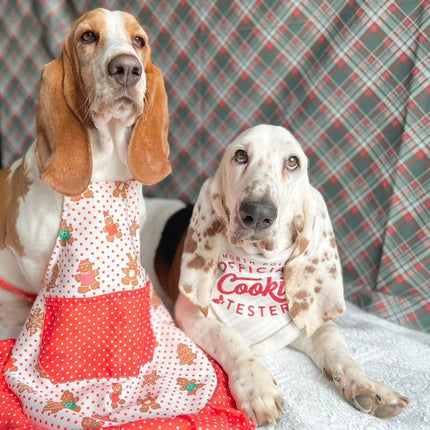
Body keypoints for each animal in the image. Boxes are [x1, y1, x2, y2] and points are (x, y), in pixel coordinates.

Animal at [142, 124, 410, 426]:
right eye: (240, 155)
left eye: (293, 162)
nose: (258, 213)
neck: (257, 263)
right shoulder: (190, 314)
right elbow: (229, 337)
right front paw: (255, 385)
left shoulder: (302, 323)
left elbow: (333, 339)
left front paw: (366, 384)